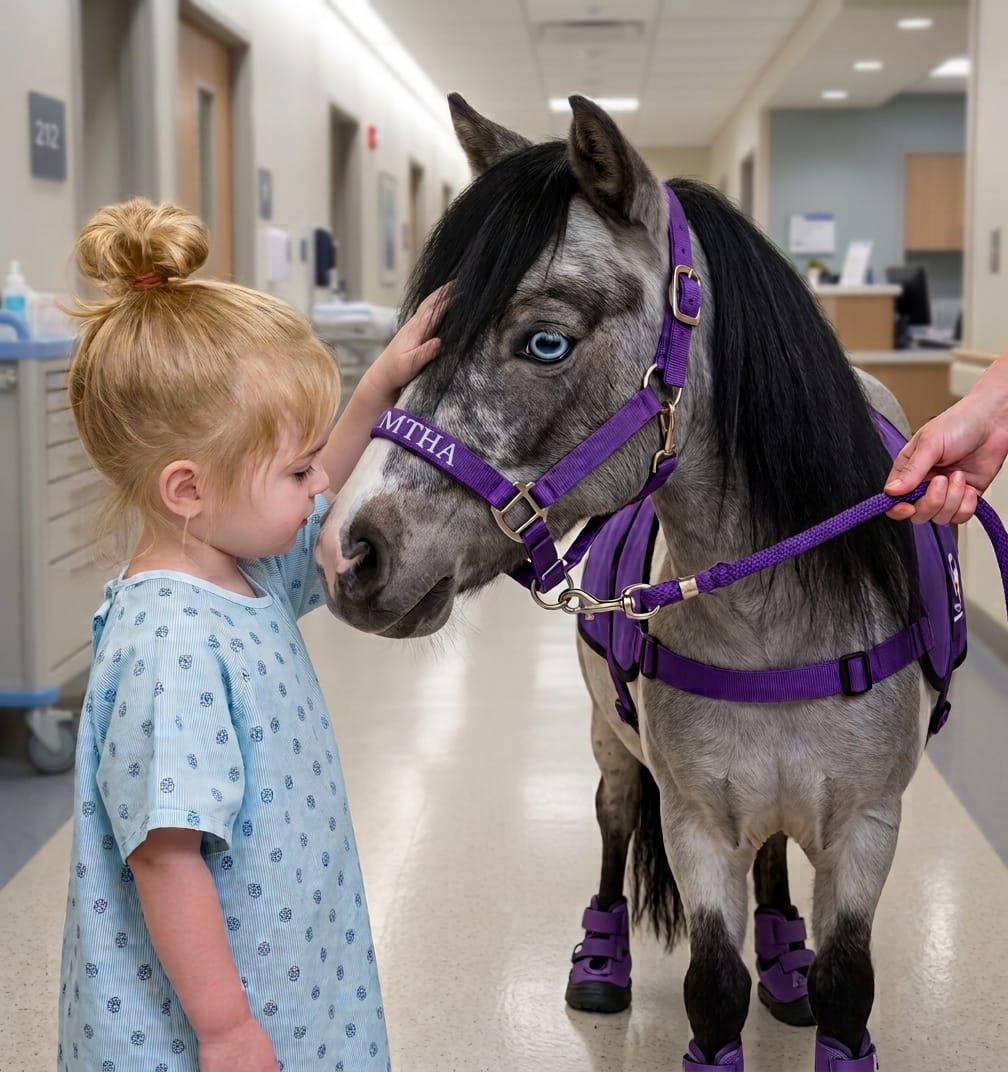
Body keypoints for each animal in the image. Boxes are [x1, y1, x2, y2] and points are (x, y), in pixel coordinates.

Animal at [316, 94, 948, 1071]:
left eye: (546, 341)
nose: (355, 551)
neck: (774, 626)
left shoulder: (869, 827)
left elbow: (848, 990)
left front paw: (809, 978)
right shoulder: (695, 825)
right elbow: (713, 989)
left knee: (774, 856)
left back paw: (787, 962)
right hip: (608, 745)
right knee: (614, 825)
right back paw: (603, 959)